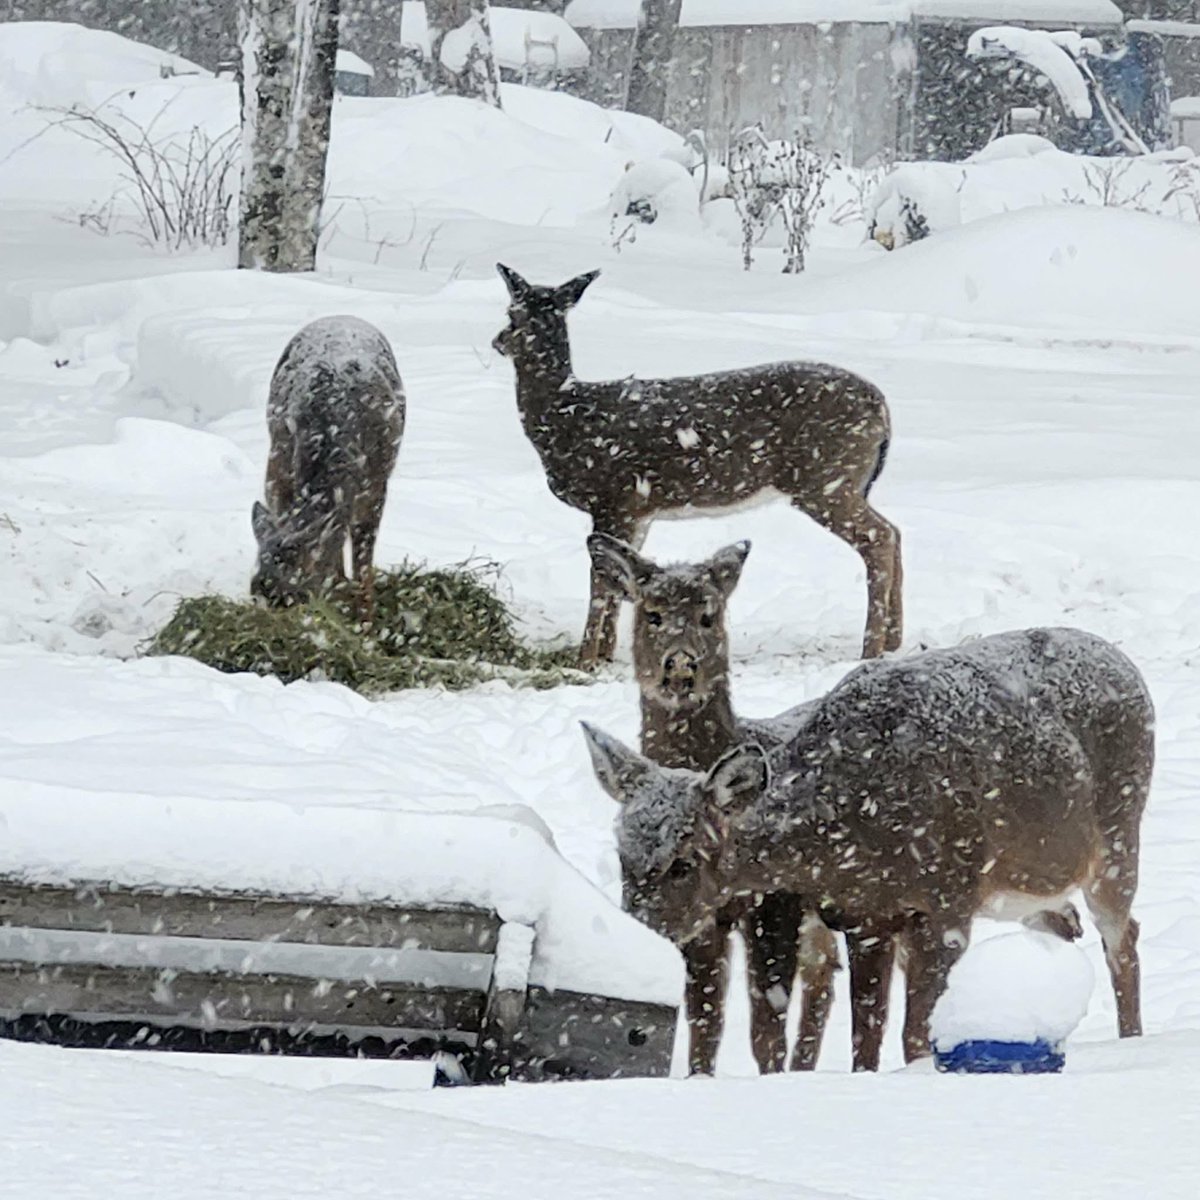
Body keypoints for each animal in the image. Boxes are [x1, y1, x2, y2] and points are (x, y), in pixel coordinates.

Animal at [251, 315, 405, 624]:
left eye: (293, 594)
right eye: (253, 591)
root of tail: (342, 316)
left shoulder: (375, 489)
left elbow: (363, 563)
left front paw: (365, 622)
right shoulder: (278, 470)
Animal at [491, 264, 902, 668]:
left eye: (511, 313)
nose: (498, 341)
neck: (564, 415)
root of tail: (881, 408)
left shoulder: (614, 497)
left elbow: (601, 580)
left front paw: (585, 659)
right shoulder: (639, 511)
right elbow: (622, 573)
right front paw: (605, 654)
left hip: (826, 480)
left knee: (879, 537)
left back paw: (870, 649)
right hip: (847, 483)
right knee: (895, 532)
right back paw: (894, 644)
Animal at [582, 627, 1153, 1071]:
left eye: (682, 862)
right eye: (622, 856)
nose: (636, 933)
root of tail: (1128, 666)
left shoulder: (945, 900)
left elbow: (914, 1035)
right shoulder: (864, 918)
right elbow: (867, 1037)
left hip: (1120, 833)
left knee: (1122, 937)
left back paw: (1133, 1042)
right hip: (1023, 887)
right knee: (1064, 925)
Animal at [588, 531, 837, 1075]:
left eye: (709, 614)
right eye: (652, 613)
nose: (680, 666)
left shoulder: (774, 900)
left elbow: (766, 1026)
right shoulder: (706, 918)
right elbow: (705, 1019)